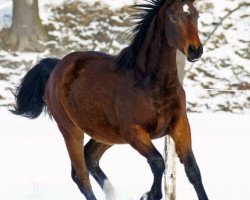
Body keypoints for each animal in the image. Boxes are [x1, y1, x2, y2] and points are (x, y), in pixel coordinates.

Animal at [11, 0, 208, 200]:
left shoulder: (180, 126)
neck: (152, 84)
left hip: (106, 134)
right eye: (173, 17)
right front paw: (149, 195)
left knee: (90, 158)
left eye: (197, 15)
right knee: (80, 175)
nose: (195, 50)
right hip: (71, 130)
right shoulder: (134, 132)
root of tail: (56, 67)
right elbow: (158, 161)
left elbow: (193, 171)